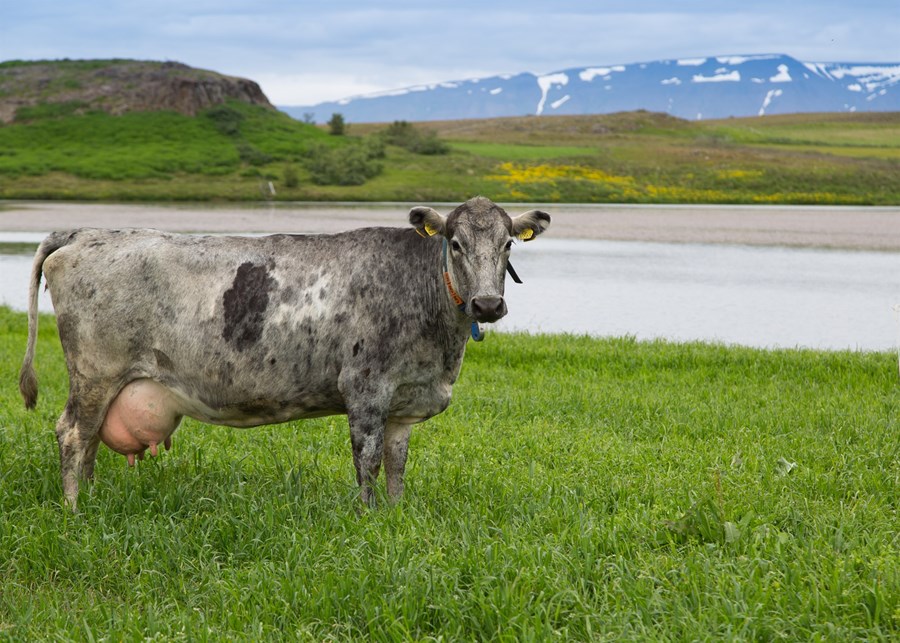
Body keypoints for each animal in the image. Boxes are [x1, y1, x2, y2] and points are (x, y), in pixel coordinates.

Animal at [21, 196, 552, 508]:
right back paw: (75, 512)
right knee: (72, 434)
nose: (488, 304)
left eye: (507, 243)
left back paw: (92, 498)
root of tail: (85, 232)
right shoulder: (365, 389)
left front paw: (397, 515)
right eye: (455, 243)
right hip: (94, 373)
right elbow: (368, 461)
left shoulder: (405, 400)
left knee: (90, 440)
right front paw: (368, 517)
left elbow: (397, 465)